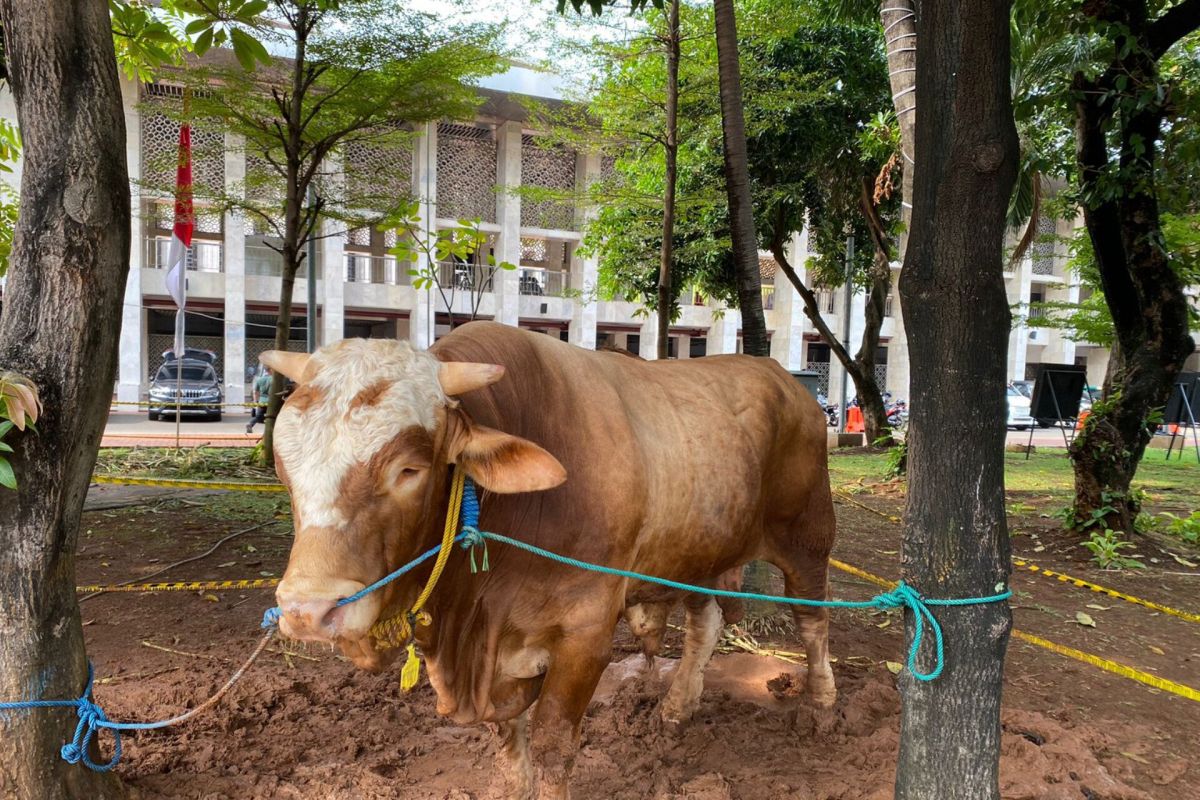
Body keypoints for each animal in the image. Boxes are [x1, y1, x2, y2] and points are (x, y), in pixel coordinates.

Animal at [268, 321, 840, 796]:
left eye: (409, 469)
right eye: (282, 464)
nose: (308, 611)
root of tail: (784, 379)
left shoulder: (585, 636)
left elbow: (553, 744)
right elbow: (506, 734)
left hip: (808, 537)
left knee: (813, 622)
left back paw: (822, 709)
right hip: (700, 553)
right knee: (705, 623)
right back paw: (676, 710)